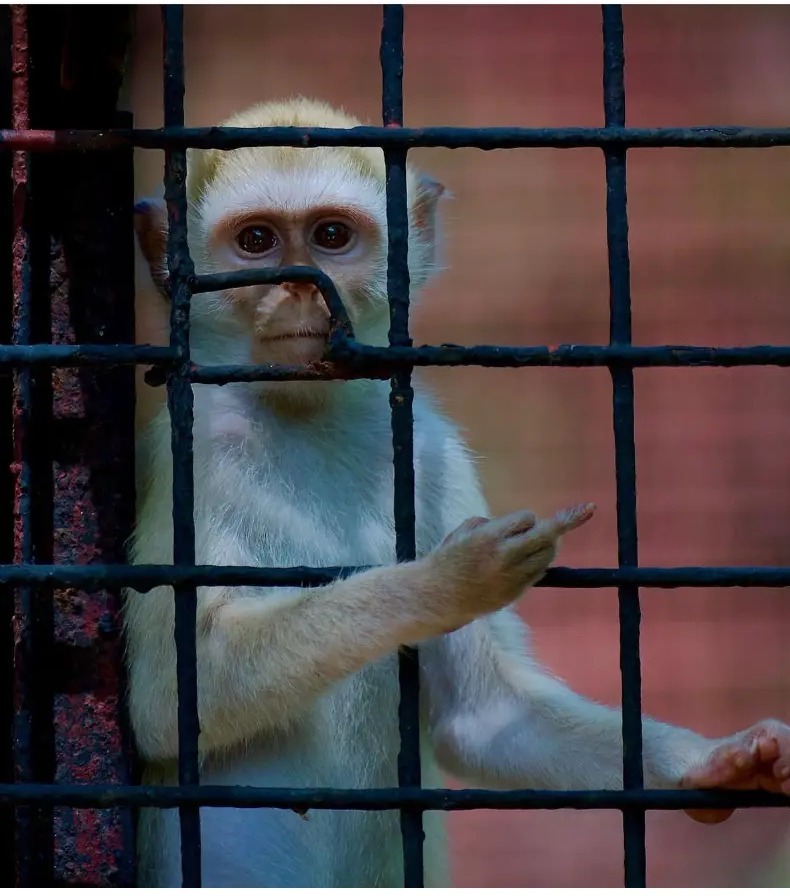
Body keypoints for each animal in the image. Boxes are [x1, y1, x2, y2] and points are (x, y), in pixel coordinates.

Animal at [126, 97, 790, 887]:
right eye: (256, 242)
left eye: (330, 237)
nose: (298, 285)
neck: (304, 409)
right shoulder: (196, 449)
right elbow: (165, 703)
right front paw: (443, 582)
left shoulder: (428, 448)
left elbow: (487, 718)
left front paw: (717, 765)